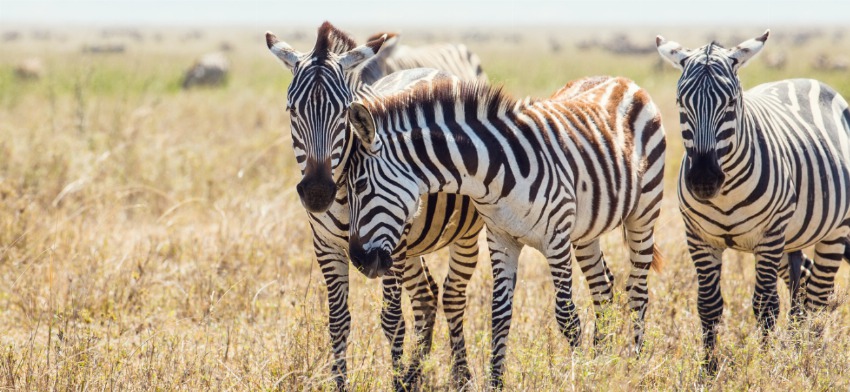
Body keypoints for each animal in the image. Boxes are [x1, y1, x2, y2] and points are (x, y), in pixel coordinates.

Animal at [656, 30, 848, 374]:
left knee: (818, 295)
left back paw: (810, 354)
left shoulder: (769, 236)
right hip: (790, 238)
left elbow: (765, 305)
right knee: (802, 283)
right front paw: (709, 369)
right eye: (680, 103)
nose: (703, 179)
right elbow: (708, 305)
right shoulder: (699, 238)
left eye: (731, 103)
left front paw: (764, 364)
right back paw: (797, 346)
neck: (725, 193)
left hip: (832, 231)